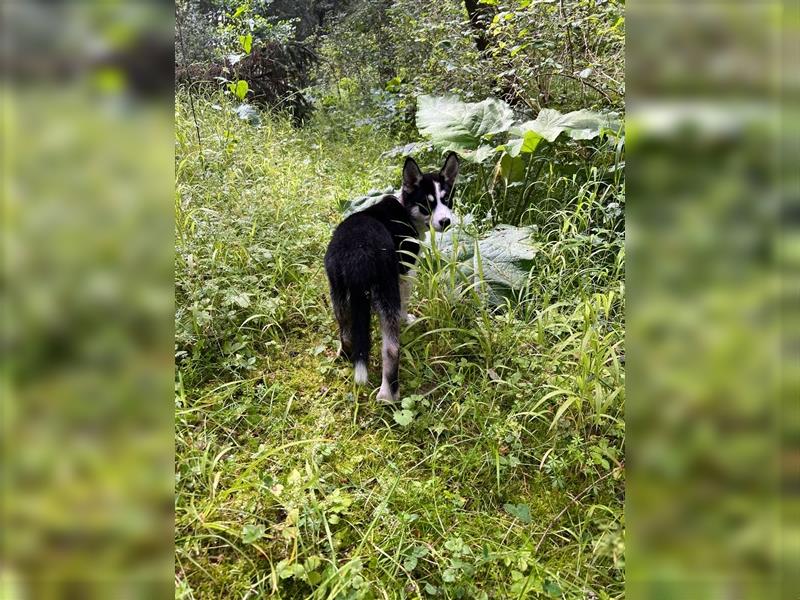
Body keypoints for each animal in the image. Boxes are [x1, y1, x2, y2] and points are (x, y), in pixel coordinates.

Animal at [324, 152, 460, 400]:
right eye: (427, 204)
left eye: (447, 200)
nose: (445, 222)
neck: (406, 208)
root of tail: (357, 254)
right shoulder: (405, 273)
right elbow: (405, 304)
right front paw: (407, 320)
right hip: (386, 290)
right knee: (391, 349)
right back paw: (389, 395)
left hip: (338, 291)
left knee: (346, 332)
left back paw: (346, 357)